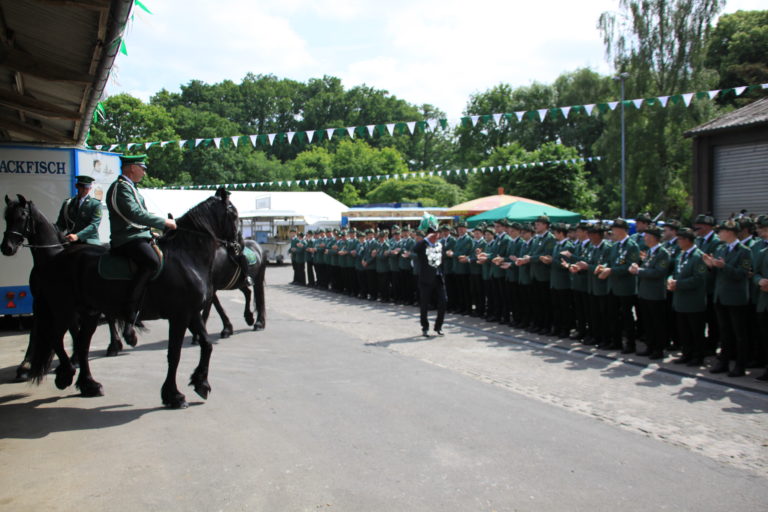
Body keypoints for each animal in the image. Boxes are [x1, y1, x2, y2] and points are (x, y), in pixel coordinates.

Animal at [1, 195, 127, 380]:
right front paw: (26, 365)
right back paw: (115, 345)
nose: (7, 247)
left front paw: (73, 359)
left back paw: (114, 347)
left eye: (22, 217)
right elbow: (36, 330)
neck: (49, 260)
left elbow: (73, 329)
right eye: (6, 218)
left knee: (110, 317)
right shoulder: (39, 301)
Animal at [27, 188, 237, 408]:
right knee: (56, 338)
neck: (185, 257)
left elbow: (206, 344)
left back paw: (89, 385)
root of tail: (54, 260)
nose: (236, 247)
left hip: (89, 313)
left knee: (82, 345)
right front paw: (173, 395)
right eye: (233, 214)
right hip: (63, 309)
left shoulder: (191, 313)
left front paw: (201, 384)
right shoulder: (179, 316)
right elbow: (174, 354)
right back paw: (66, 374)